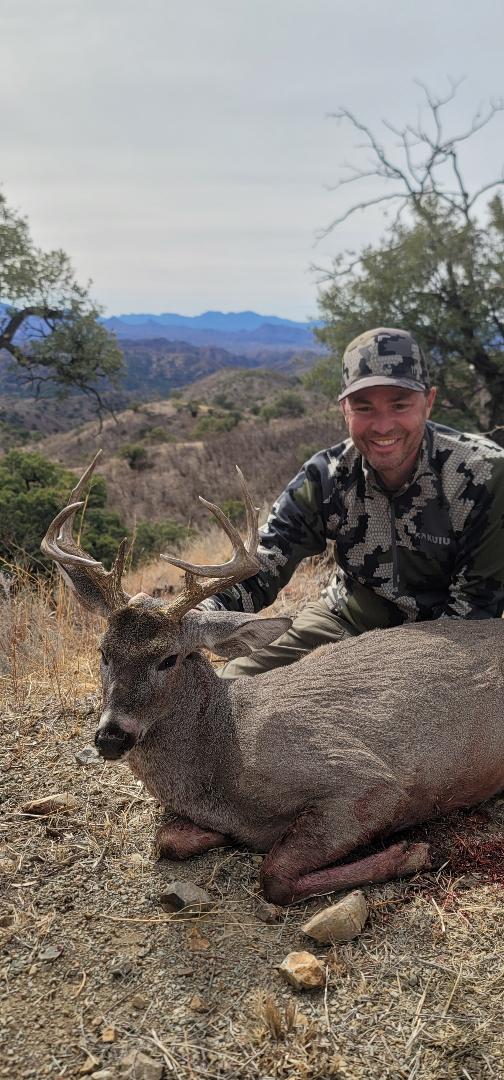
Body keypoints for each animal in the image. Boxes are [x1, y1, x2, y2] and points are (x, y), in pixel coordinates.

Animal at [41, 453, 504, 902]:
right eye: (103, 653)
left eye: (169, 659)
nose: (111, 736)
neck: (224, 753)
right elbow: (167, 839)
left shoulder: (369, 782)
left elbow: (274, 876)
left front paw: (410, 853)